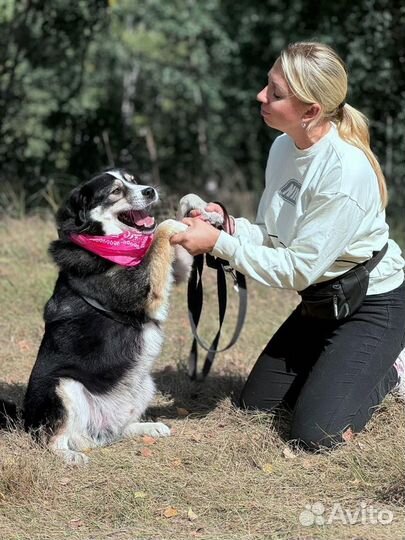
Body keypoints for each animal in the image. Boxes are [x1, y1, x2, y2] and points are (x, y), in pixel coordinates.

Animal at [19, 169, 193, 464]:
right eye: (115, 191)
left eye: (133, 179)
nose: (149, 191)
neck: (101, 240)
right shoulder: (142, 293)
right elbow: (158, 236)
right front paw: (175, 224)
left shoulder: (169, 275)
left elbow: (167, 252)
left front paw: (195, 210)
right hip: (62, 386)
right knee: (51, 439)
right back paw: (71, 456)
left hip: (144, 383)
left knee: (118, 430)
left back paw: (147, 427)